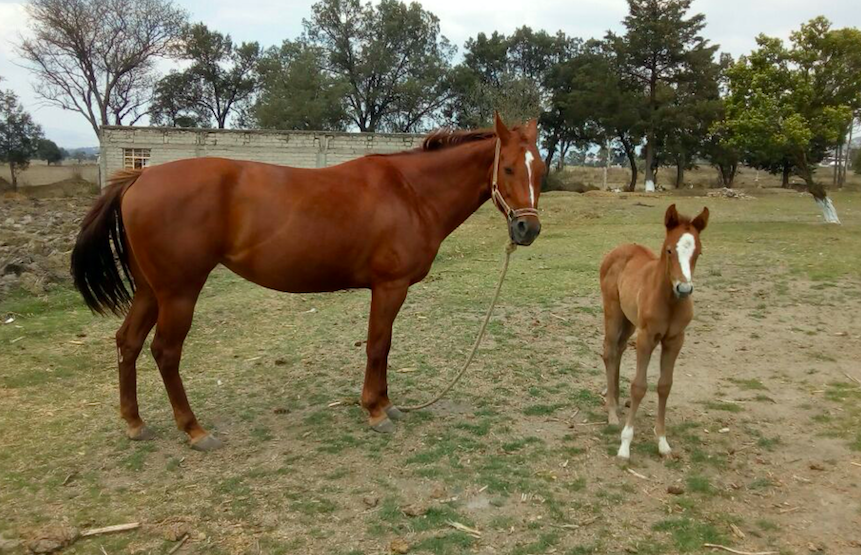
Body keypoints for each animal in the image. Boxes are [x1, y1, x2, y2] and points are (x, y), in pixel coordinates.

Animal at [596, 204, 708, 460]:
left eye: (698, 252)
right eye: (669, 250)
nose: (684, 288)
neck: (668, 301)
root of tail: (617, 250)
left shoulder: (675, 340)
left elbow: (665, 385)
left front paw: (663, 442)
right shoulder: (646, 337)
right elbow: (639, 387)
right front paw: (625, 446)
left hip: (629, 320)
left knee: (618, 351)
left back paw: (616, 401)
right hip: (613, 312)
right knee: (609, 352)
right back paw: (612, 412)